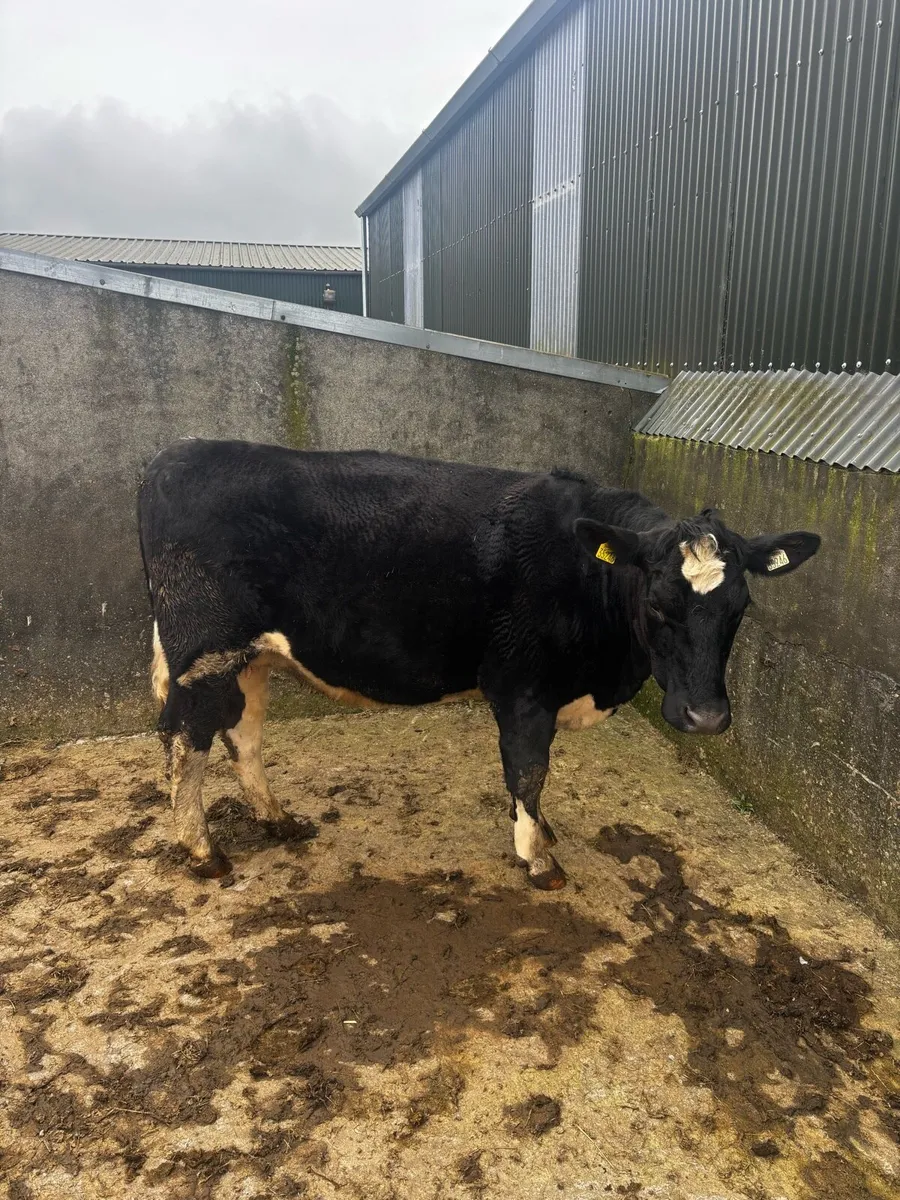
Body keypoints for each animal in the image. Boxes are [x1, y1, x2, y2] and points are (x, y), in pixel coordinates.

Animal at [139, 439, 820, 889]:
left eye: (742, 605)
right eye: (657, 602)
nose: (706, 718)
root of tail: (176, 453)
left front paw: (543, 835)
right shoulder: (524, 690)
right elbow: (528, 773)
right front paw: (538, 858)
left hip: (247, 658)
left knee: (243, 736)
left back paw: (278, 821)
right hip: (205, 652)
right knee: (184, 739)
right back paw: (203, 853)